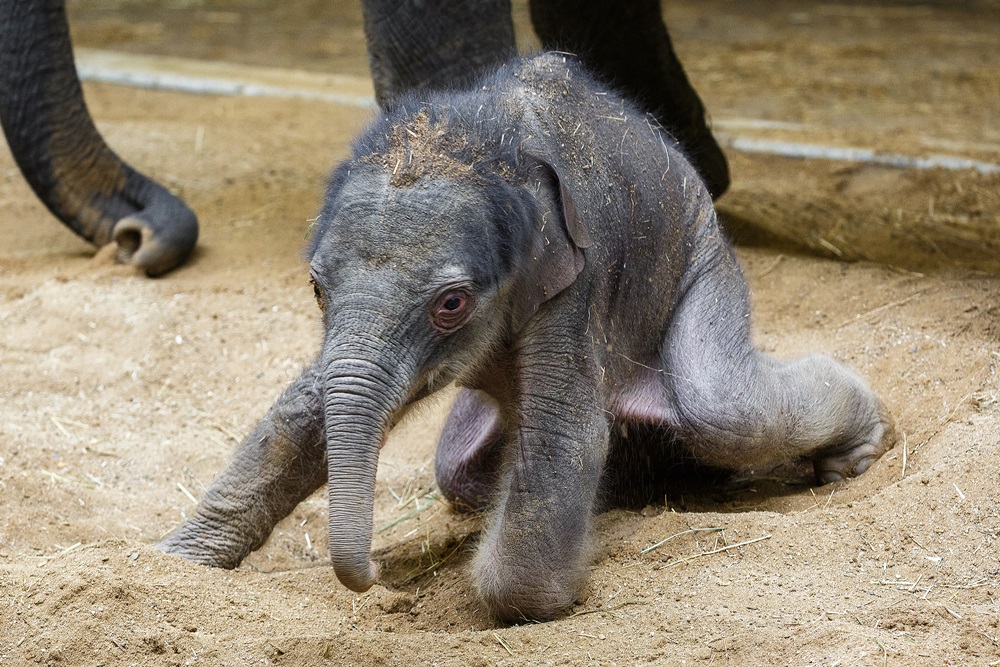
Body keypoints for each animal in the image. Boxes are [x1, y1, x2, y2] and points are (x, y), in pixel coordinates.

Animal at [158, 54, 900, 624]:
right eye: (315, 287)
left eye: (451, 303)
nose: (373, 575)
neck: (482, 139)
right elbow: (303, 413)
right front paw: (172, 562)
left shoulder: (577, 276)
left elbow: (563, 436)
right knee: (454, 468)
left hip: (705, 258)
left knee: (724, 410)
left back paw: (853, 455)